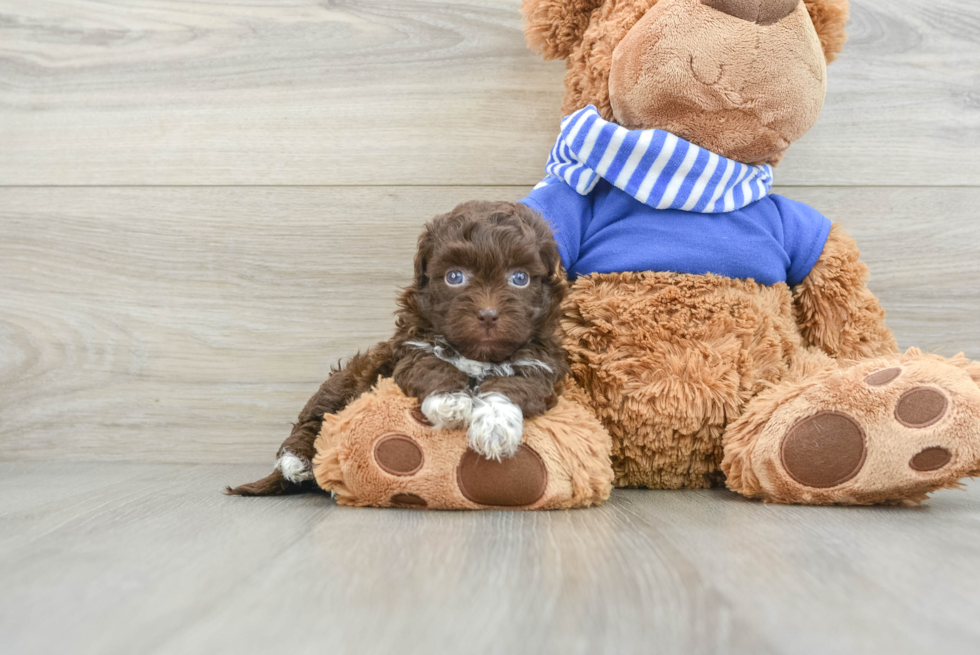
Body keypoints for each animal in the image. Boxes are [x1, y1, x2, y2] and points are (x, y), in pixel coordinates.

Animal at [228, 200, 568, 498]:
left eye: (520, 278)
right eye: (455, 276)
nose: (487, 314)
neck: (477, 354)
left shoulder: (541, 362)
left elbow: (513, 384)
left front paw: (494, 428)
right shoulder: (410, 348)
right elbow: (433, 364)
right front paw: (450, 402)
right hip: (342, 381)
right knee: (313, 418)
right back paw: (296, 462)